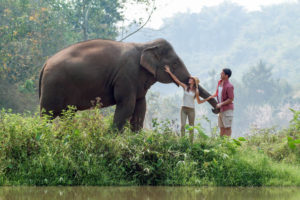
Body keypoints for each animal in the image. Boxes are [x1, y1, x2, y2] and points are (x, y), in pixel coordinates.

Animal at [39, 38, 218, 130]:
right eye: (174, 64)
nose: (216, 110)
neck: (145, 45)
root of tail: (45, 64)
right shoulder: (127, 75)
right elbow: (127, 105)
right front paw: (112, 138)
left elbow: (141, 106)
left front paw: (136, 138)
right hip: (53, 86)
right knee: (46, 114)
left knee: (65, 115)